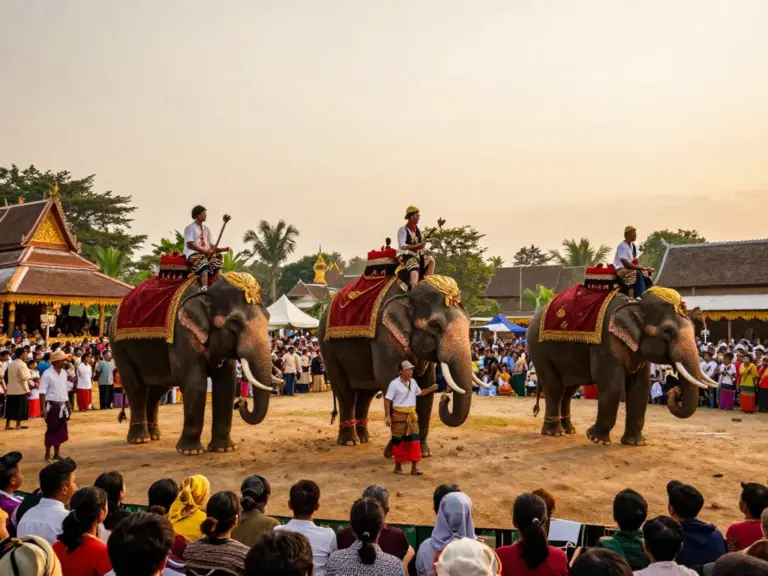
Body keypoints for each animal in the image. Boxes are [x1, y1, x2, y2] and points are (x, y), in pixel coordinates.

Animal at [110, 273, 279, 455]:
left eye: (268, 317)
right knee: (137, 388)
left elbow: (227, 384)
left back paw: (155, 436)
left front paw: (224, 448)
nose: (241, 402)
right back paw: (140, 439)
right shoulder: (182, 333)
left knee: (157, 390)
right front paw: (190, 451)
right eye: (235, 322)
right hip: (119, 349)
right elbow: (195, 383)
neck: (207, 290)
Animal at [317, 275, 481, 457]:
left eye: (469, 323)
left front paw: (424, 452)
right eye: (435, 325)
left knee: (366, 395)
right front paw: (393, 452)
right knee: (345, 392)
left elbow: (426, 384)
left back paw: (365, 438)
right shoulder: (384, 335)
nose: (446, 397)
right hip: (328, 351)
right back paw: (350, 441)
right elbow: (389, 380)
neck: (408, 293)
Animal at [526, 287, 715, 446]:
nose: (674, 391)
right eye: (667, 331)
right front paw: (595, 438)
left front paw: (635, 443)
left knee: (569, 391)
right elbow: (613, 387)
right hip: (538, 349)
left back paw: (569, 430)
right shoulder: (606, 342)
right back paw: (553, 433)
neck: (636, 304)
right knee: (555, 388)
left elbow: (641, 387)